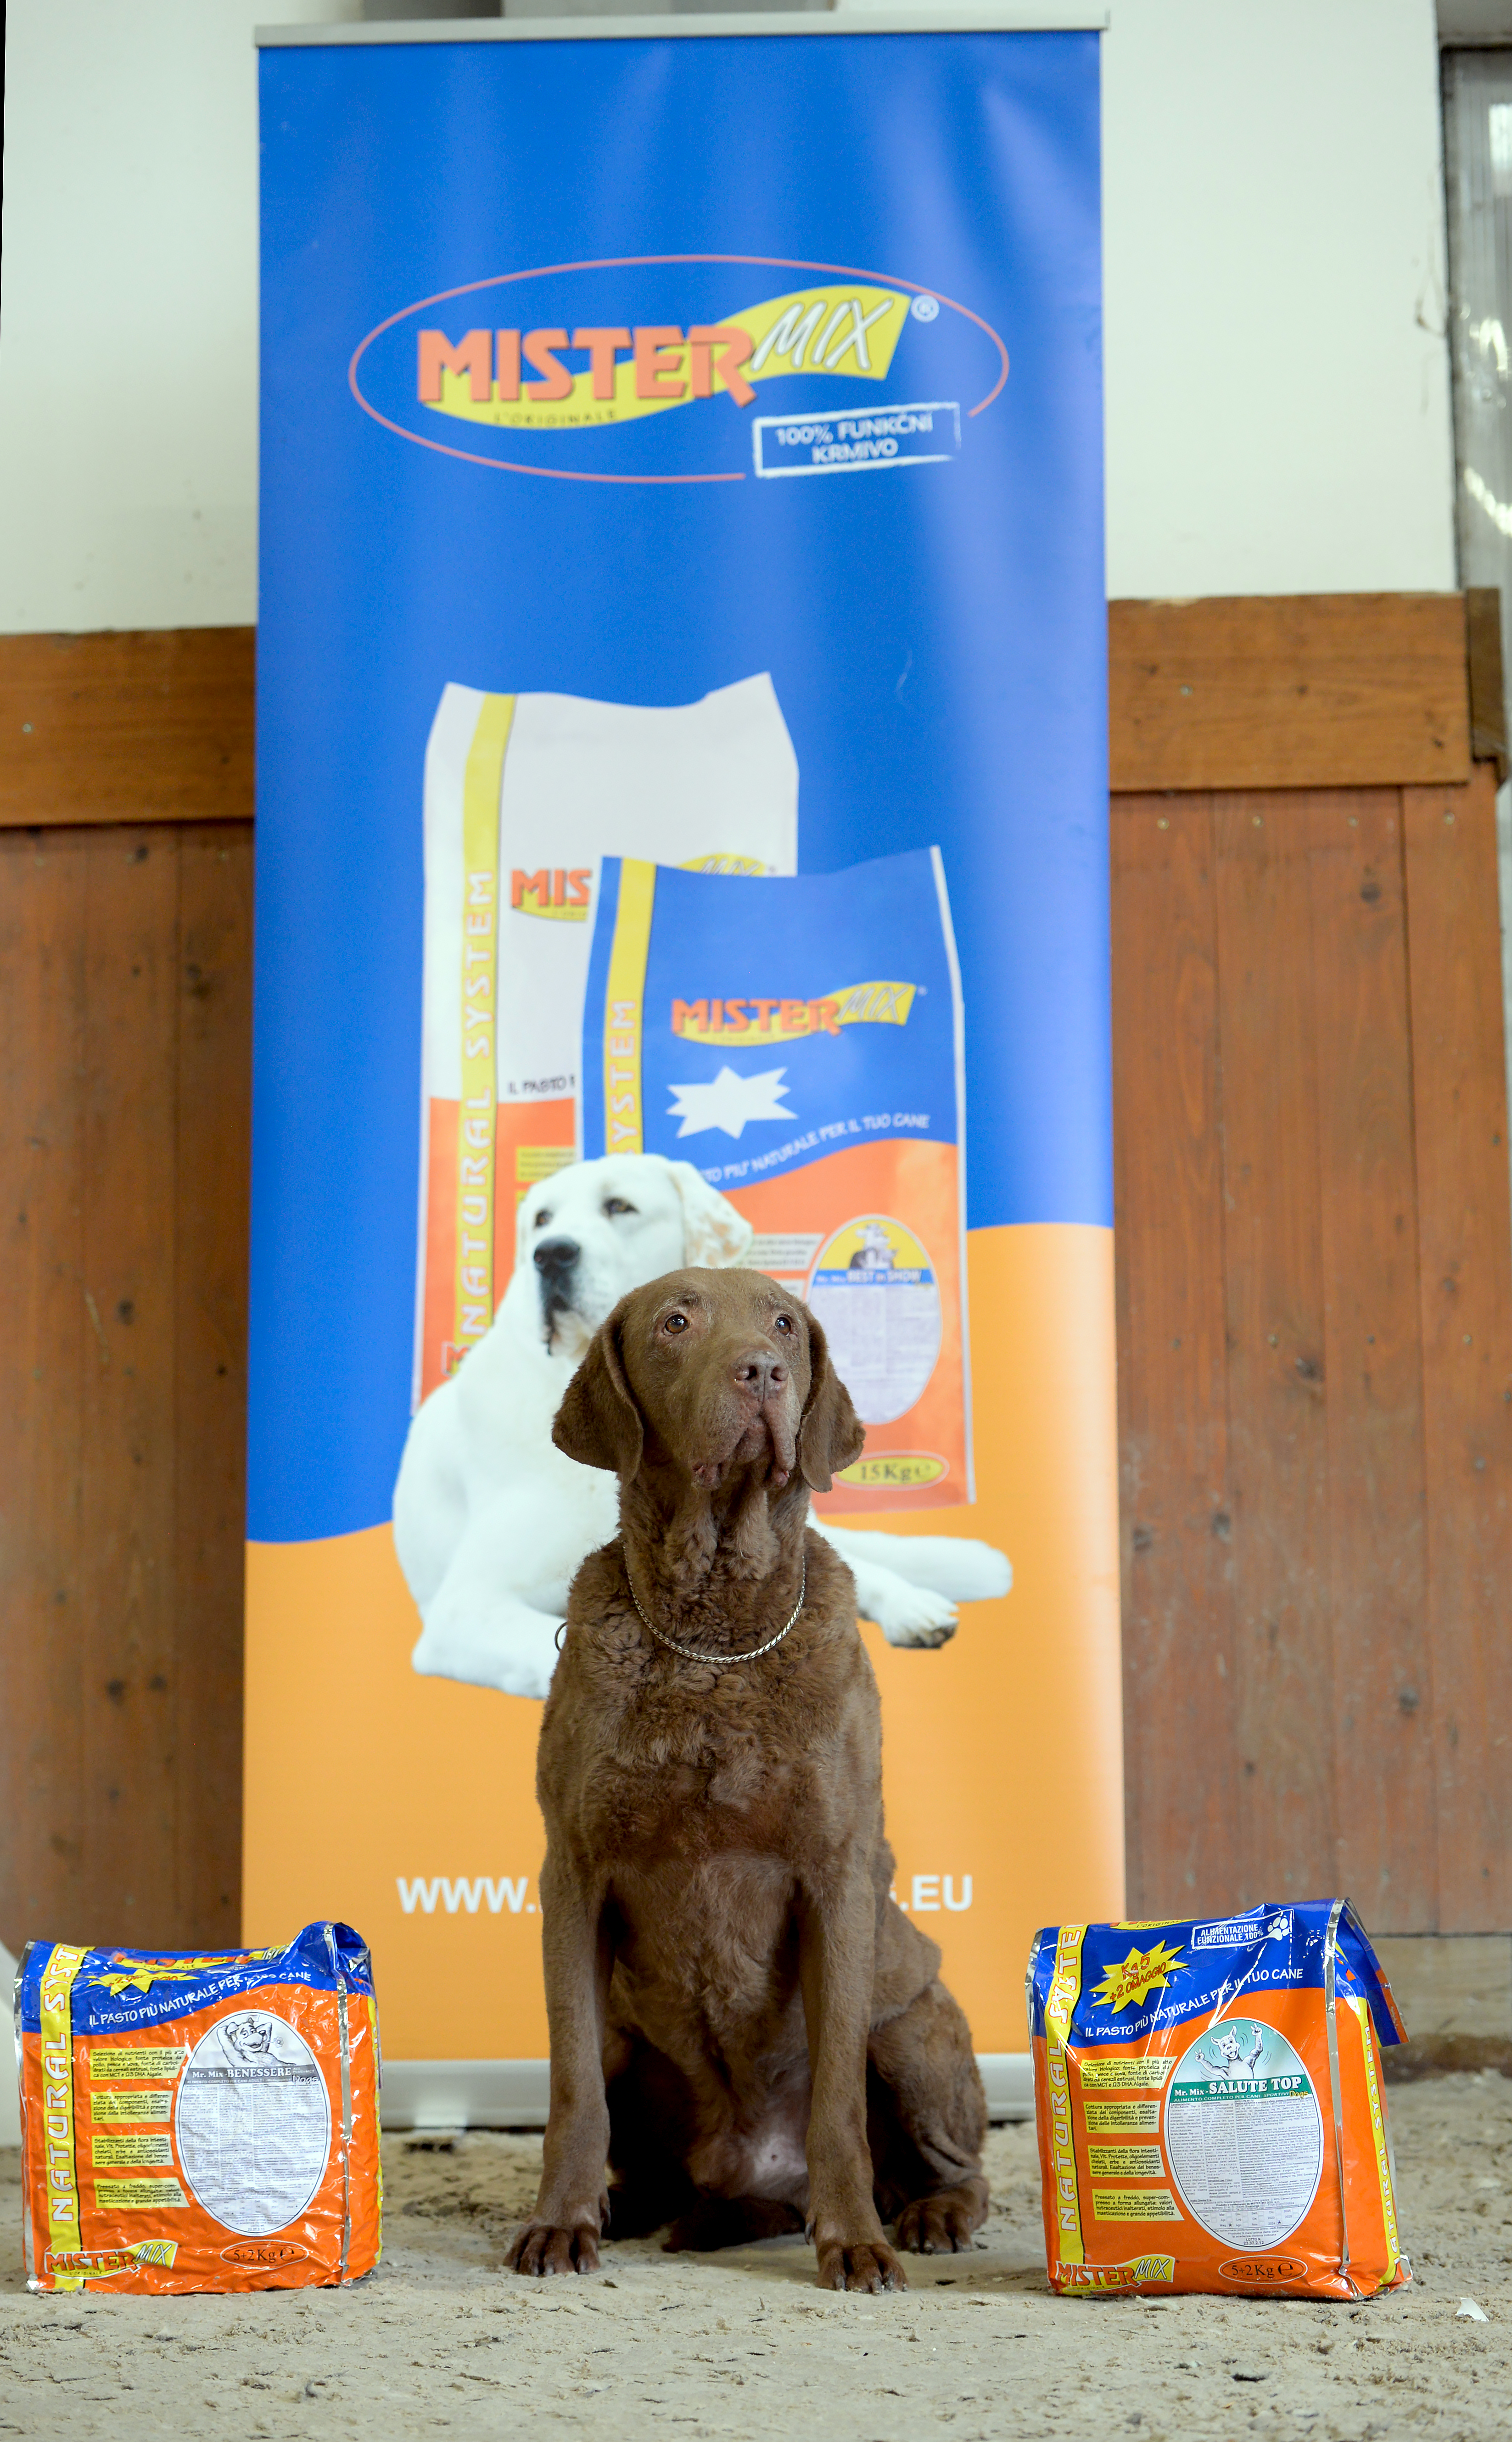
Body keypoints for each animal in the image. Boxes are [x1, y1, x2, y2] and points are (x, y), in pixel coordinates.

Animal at [503, 1260, 986, 2285]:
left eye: (783, 1324)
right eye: (675, 1322)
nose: (760, 1370)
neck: (713, 1642)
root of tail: (750, 2179)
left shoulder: (832, 1876)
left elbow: (837, 2095)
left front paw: (855, 2244)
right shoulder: (573, 1875)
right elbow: (570, 2088)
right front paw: (559, 2223)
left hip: (914, 2019)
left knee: (957, 2161)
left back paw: (924, 2215)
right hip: (630, 2035)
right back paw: (631, 2204)